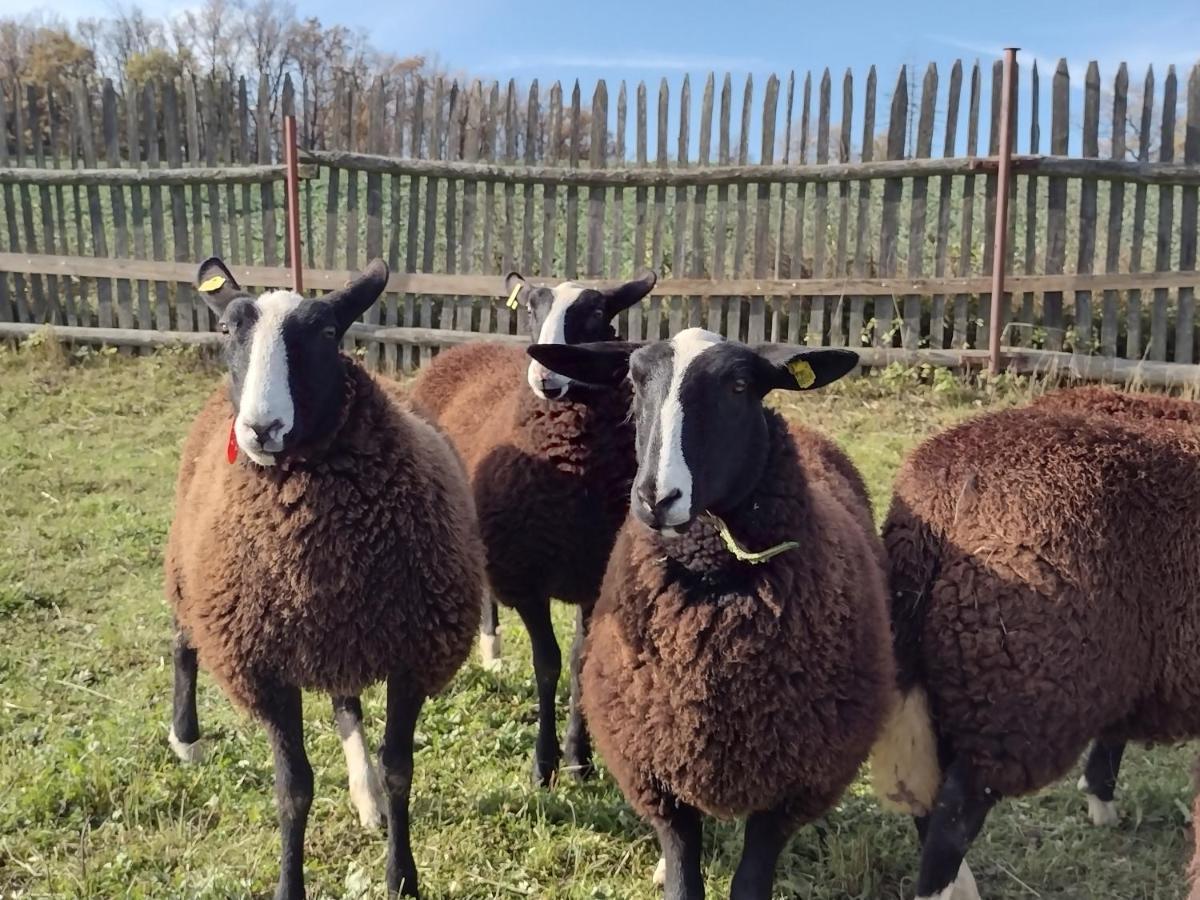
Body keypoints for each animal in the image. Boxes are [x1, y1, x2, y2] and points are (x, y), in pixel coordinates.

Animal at [168, 256, 482, 897]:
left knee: (345, 704)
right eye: (227, 330)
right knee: (183, 641)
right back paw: (185, 739)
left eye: (329, 332)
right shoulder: (262, 663)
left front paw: (401, 875)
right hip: (194, 572)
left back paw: (365, 797)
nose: (261, 428)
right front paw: (289, 884)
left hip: (343, 634)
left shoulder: (411, 654)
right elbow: (293, 791)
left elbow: (399, 770)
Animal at [410, 271, 657, 787]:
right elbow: (548, 664)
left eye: (595, 314)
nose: (545, 376)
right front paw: (543, 765)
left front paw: (579, 758)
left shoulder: (595, 579)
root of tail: (466, 348)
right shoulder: (526, 580)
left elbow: (580, 662)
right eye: (529, 309)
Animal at [530, 331, 897, 900]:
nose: (657, 497)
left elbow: (750, 882)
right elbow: (685, 877)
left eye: (740, 385)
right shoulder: (657, 773)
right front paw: (671, 870)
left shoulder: (789, 786)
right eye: (633, 379)